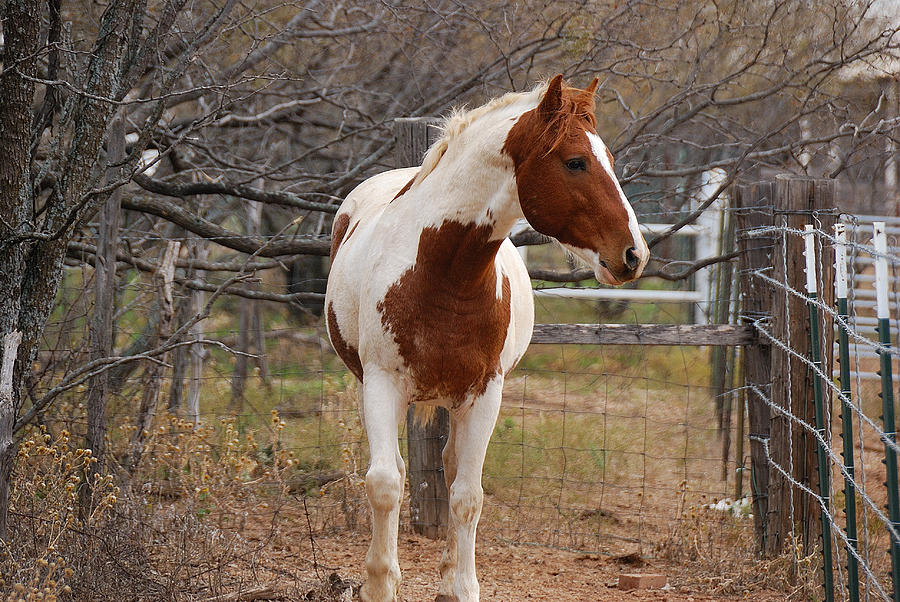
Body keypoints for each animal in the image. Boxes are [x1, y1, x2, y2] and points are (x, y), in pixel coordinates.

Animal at [324, 74, 649, 602]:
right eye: (575, 161)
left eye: (611, 159)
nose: (634, 254)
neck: (441, 273)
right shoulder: (381, 383)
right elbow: (385, 484)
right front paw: (380, 582)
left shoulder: (485, 393)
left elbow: (467, 496)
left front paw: (461, 586)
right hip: (370, 386)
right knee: (399, 469)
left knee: (454, 469)